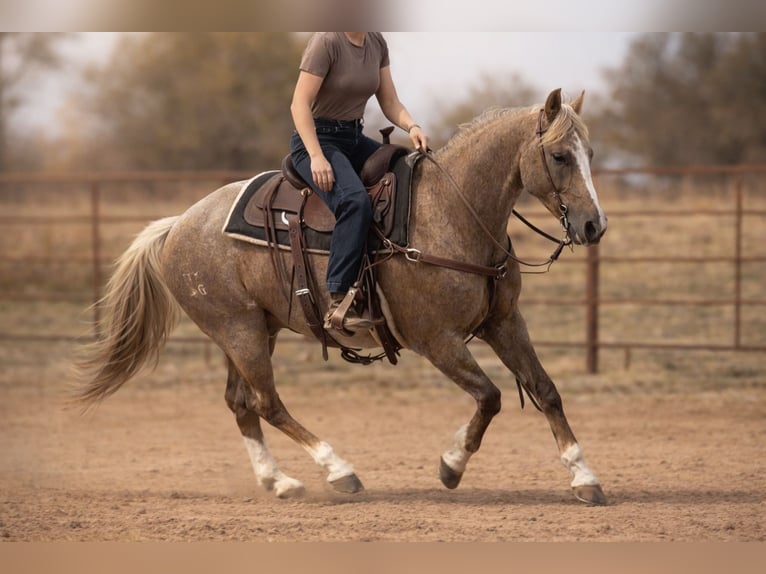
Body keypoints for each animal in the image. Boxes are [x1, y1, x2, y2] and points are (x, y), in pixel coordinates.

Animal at [75, 88, 608, 505]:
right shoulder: (436, 339)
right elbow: (491, 396)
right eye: (560, 156)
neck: (451, 213)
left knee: (241, 403)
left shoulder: (505, 321)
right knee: (267, 403)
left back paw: (280, 481)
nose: (593, 225)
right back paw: (338, 470)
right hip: (238, 330)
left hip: (253, 328)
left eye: (591, 153)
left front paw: (585, 477)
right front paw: (451, 465)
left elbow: (545, 391)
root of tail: (179, 224)